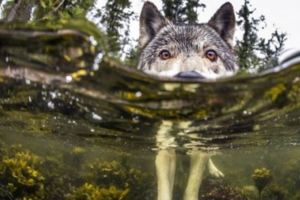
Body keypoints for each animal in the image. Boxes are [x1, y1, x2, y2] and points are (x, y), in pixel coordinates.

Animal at [138, 1, 239, 200]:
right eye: (165, 54)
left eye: (210, 54)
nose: (189, 77)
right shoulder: (165, 151)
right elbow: (164, 189)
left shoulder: (199, 150)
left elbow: (192, 186)